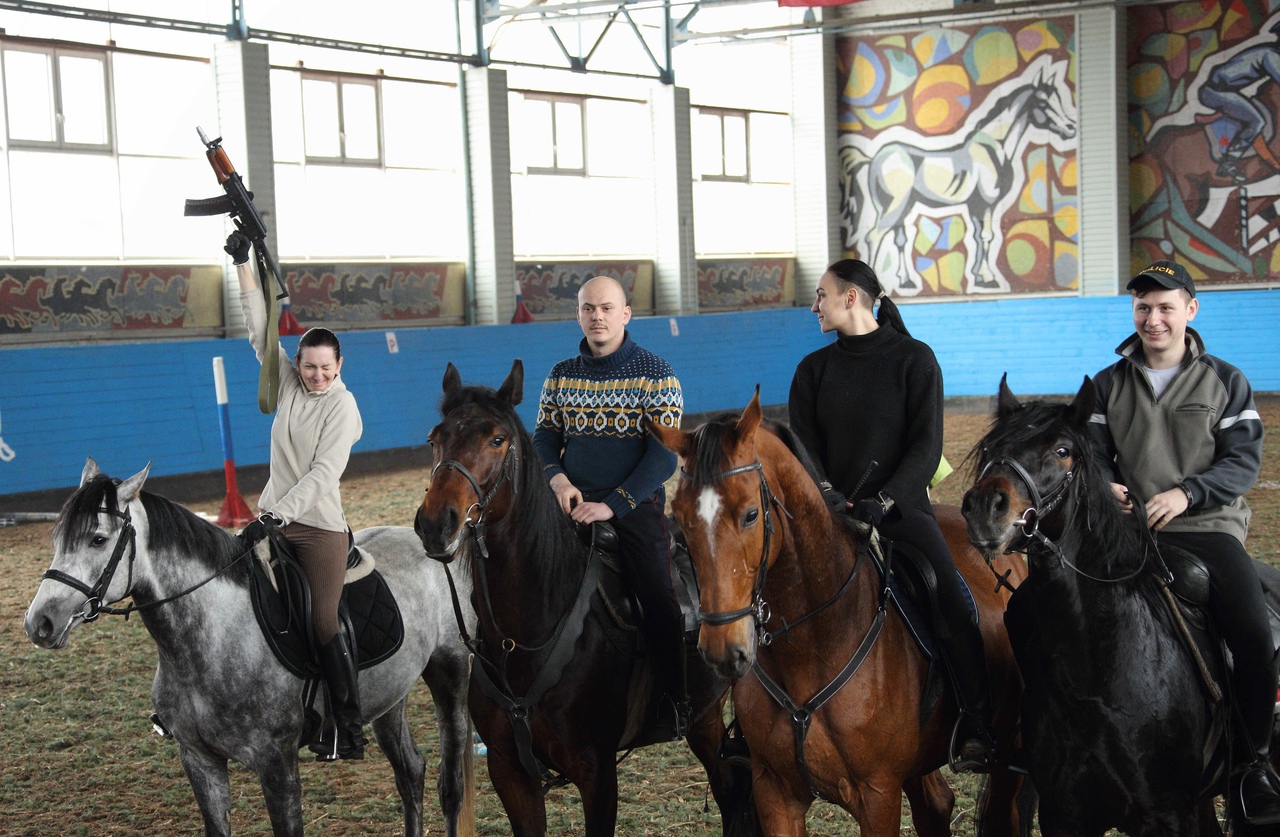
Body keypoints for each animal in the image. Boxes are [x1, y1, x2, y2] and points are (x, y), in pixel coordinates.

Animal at [23, 458, 476, 837]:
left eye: (98, 540)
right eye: (57, 538)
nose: (39, 623)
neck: (212, 638)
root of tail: (435, 547)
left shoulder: (276, 764)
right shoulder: (200, 760)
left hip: (451, 673)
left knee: (450, 786)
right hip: (389, 696)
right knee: (410, 773)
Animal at [412, 360, 757, 837]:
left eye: (496, 439)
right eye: (434, 439)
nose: (435, 523)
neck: (524, 636)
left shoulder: (597, 773)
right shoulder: (509, 772)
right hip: (706, 717)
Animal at [650, 394, 1029, 837]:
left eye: (750, 514)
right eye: (678, 517)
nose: (722, 651)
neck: (814, 643)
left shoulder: (877, 795)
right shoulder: (774, 791)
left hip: (1008, 748)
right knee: (935, 805)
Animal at [962, 376, 1274, 834]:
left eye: (1062, 451)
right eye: (990, 449)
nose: (985, 508)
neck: (1097, 672)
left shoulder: (1168, 814)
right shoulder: (1064, 815)